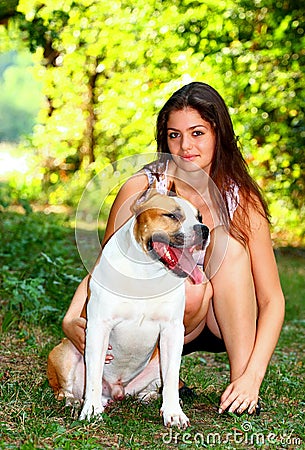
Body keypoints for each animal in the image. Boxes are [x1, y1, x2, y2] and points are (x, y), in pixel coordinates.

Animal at [47, 191, 209, 428]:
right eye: (171, 215)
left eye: (200, 217)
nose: (204, 230)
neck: (146, 272)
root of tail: (116, 391)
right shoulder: (98, 328)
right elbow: (93, 375)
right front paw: (91, 410)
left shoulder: (172, 332)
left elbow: (171, 377)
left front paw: (174, 413)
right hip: (65, 349)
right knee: (63, 389)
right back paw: (74, 401)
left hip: (156, 359)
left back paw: (149, 396)